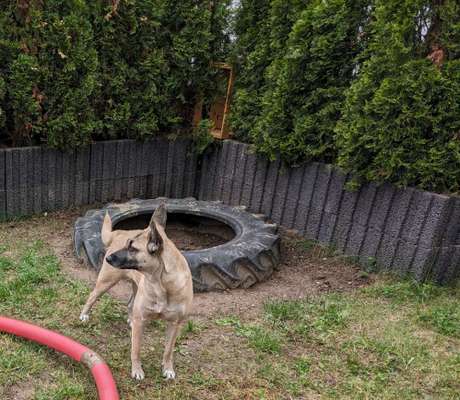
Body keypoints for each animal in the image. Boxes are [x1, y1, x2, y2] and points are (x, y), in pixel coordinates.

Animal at [80, 206, 193, 382]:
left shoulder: (175, 324)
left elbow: (168, 351)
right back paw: (84, 315)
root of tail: (119, 232)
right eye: (128, 245)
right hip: (106, 282)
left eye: (132, 248)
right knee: (92, 296)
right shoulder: (141, 321)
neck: (161, 284)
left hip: (135, 286)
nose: (108, 258)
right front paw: (137, 370)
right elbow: (136, 349)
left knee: (129, 304)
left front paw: (168, 369)